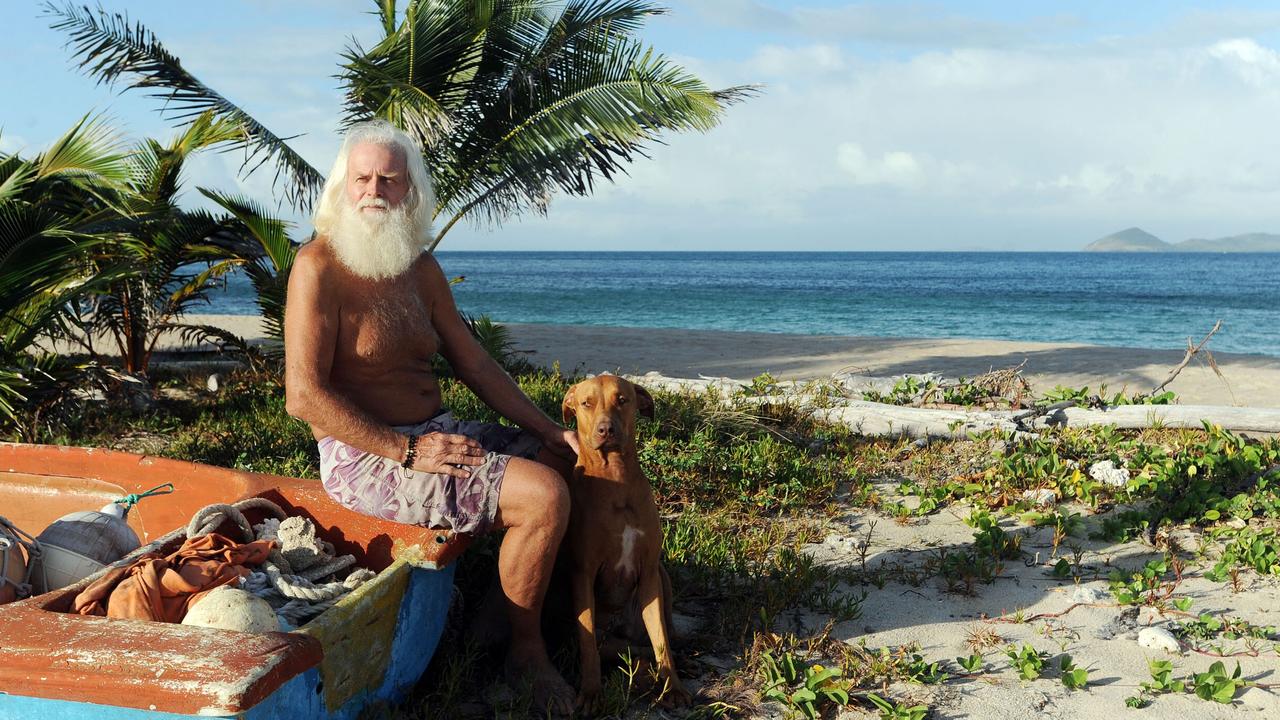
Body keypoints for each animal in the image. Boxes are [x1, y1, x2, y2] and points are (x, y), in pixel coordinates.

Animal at [560, 371, 691, 707]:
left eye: (622, 400)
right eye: (586, 403)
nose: (606, 429)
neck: (615, 478)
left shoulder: (648, 573)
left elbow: (661, 641)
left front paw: (673, 687)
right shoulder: (582, 573)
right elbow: (588, 643)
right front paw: (591, 692)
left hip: (661, 575)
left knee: (661, 636)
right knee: (621, 649)